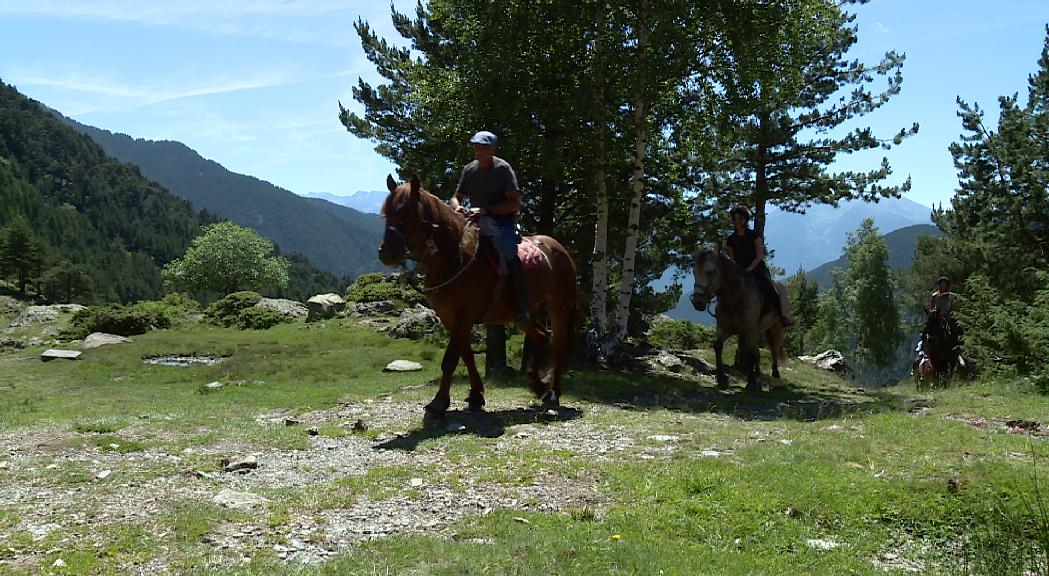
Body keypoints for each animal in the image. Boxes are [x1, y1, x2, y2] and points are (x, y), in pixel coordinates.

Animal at [377, 174, 579, 417]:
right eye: (386, 214)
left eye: (406, 214)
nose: (386, 254)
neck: (455, 257)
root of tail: (560, 250)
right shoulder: (450, 317)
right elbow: (466, 355)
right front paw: (475, 395)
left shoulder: (465, 315)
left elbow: (451, 359)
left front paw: (439, 401)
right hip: (523, 313)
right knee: (541, 336)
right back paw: (537, 384)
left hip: (559, 307)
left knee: (559, 346)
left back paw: (553, 393)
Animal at [688, 246, 788, 390]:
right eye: (694, 272)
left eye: (709, 272)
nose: (697, 302)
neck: (735, 297)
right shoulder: (725, 329)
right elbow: (718, 346)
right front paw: (721, 378)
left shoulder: (750, 331)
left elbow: (751, 354)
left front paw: (752, 382)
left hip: (777, 327)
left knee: (774, 349)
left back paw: (775, 376)